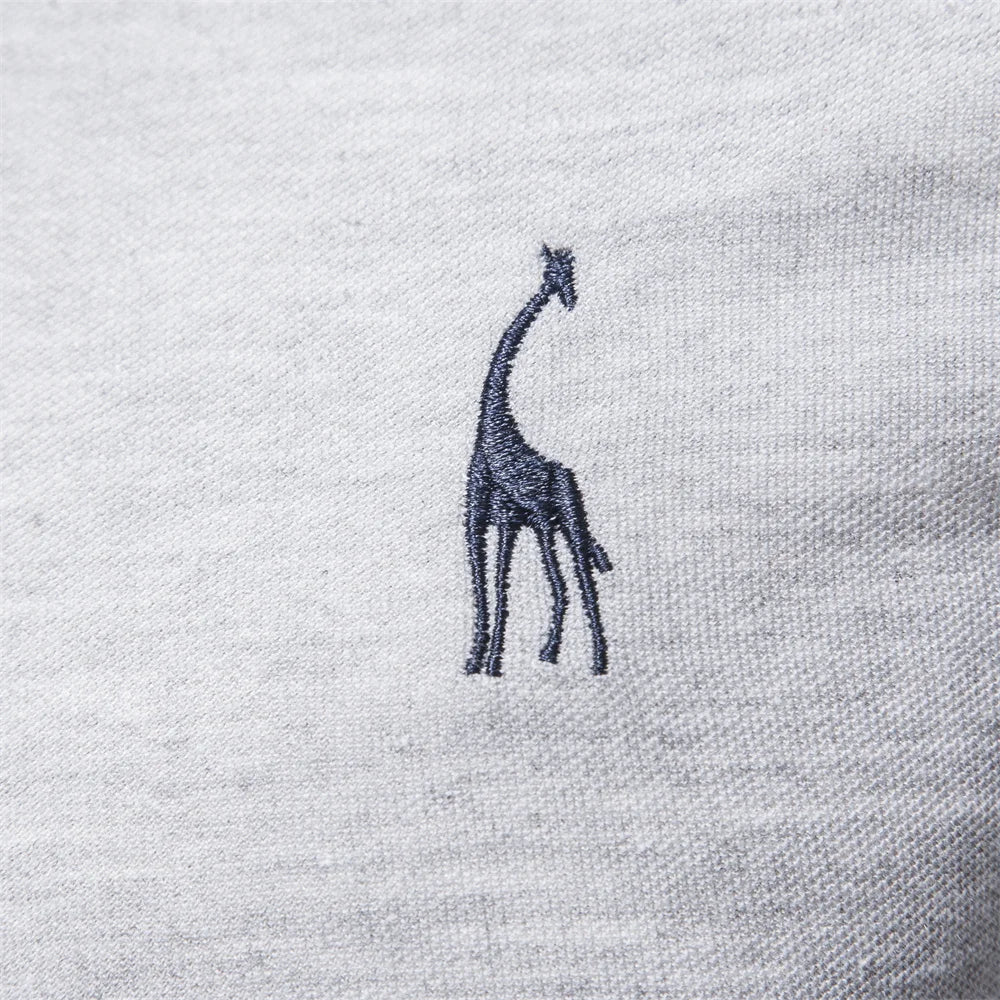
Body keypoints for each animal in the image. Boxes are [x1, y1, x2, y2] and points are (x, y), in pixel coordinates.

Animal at [464, 245, 612, 678]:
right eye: (556, 271)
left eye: (569, 271)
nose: (570, 299)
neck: (494, 430)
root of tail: (569, 474)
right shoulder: (491, 518)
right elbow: (487, 583)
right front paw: (480, 659)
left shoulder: (513, 516)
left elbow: (503, 583)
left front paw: (490, 660)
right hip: (553, 522)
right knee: (565, 581)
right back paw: (552, 650)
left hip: (566, 514)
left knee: (576, 578)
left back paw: (592, 658)